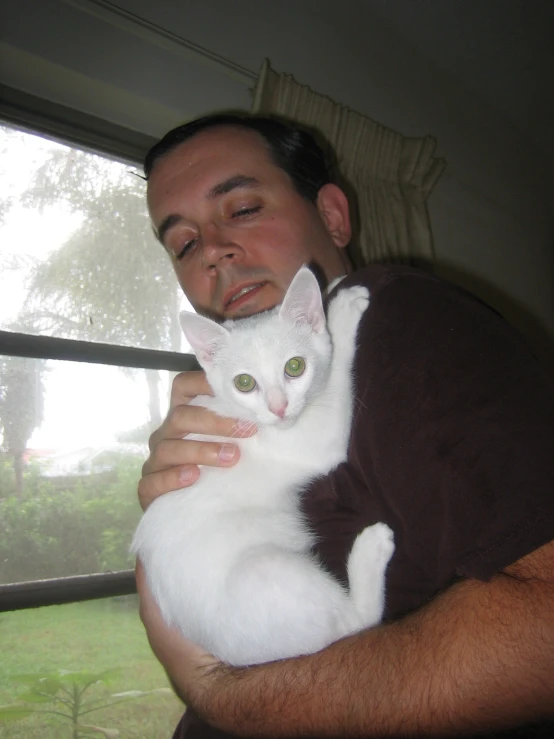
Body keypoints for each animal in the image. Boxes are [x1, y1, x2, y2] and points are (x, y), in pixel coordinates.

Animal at [132, 268, 394, 668]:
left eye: (294, 366)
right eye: (244, 383)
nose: (278, 407)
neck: (238, 414)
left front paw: (332, 290)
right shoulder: (309, 444)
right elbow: (336, 382)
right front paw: (343, 313)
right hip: (267, 570)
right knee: (355, 623)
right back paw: (371, 549)